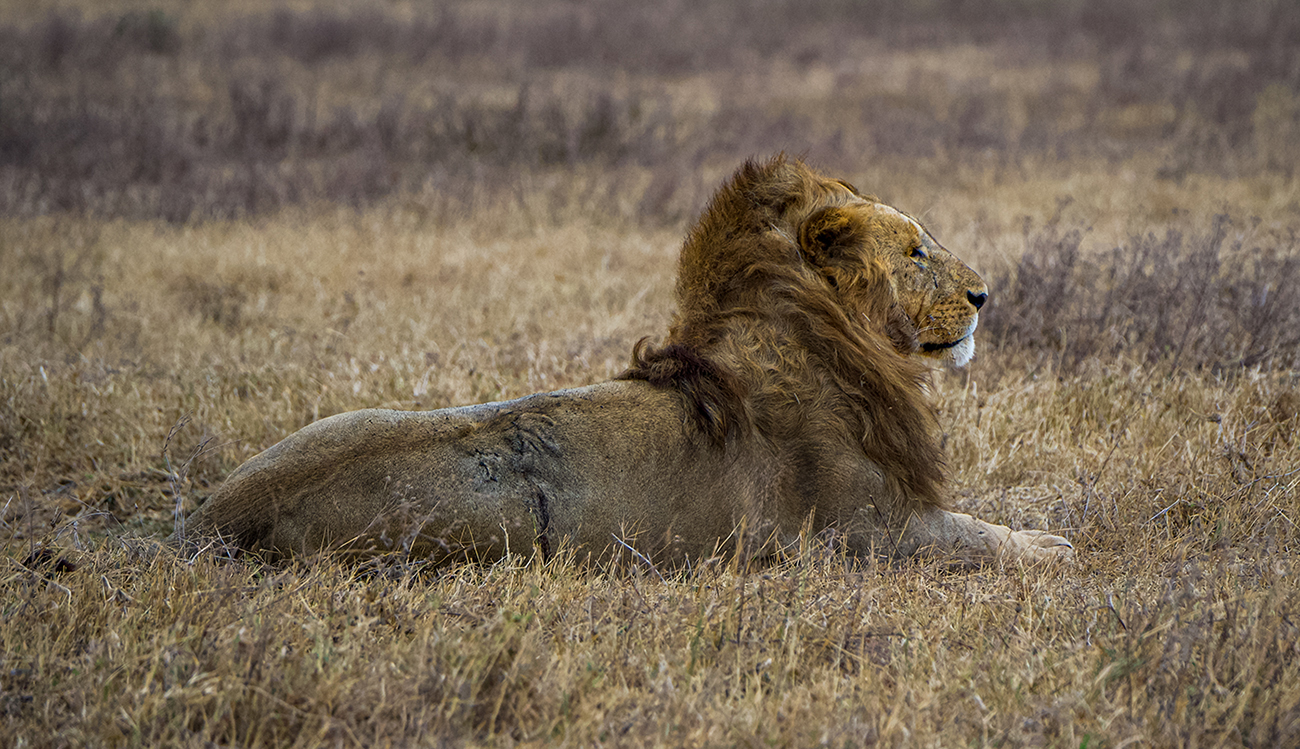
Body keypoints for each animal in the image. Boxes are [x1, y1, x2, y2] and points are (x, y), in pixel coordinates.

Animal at [178, 156, 1073, 568]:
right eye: (917, 250)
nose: (986, 294)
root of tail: (210, 516)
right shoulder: (866, 531)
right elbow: (985, 537)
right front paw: (1057, 546)